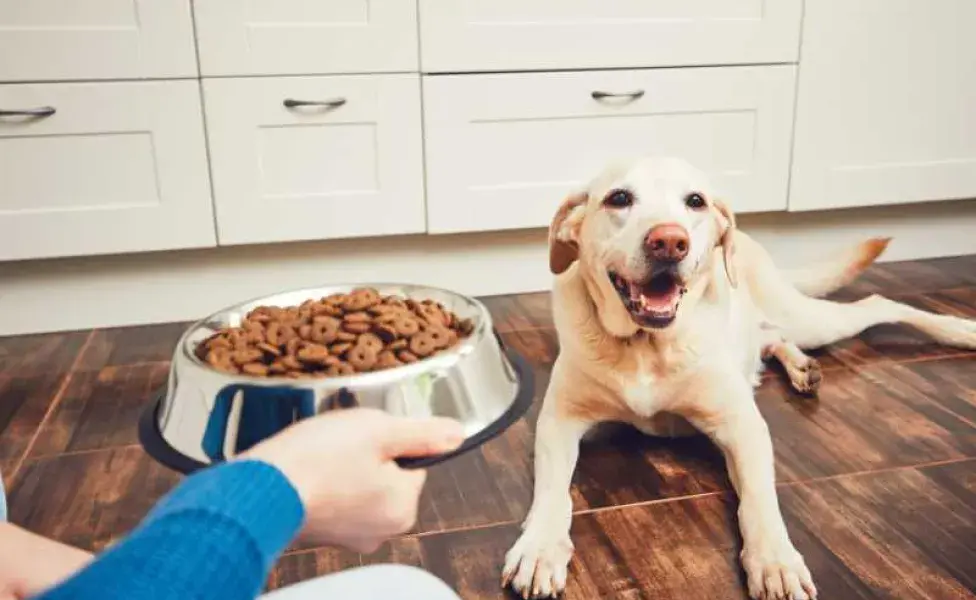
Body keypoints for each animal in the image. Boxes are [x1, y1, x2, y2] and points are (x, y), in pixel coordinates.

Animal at [504, 157, 976, 596]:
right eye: (618, 198)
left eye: (695, 201)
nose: (670, 241)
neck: (647, 346)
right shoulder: (559, 422)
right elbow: (554, 492)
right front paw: (540, 548)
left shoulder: (742, 426)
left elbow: (758, 498)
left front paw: (776, 561)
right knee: (772, 338)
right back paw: (802, 367)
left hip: (808, 317)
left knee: (875, 304)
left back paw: (960, 330)